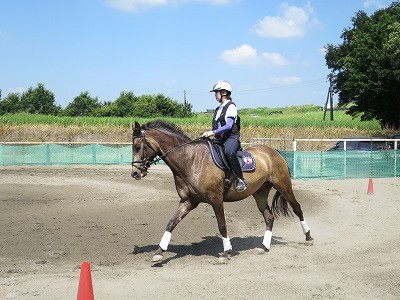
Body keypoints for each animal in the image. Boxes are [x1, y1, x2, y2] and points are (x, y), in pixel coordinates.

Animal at [131, 120, 312, 262]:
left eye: (138, 146)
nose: (135, 173)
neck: (191, 160)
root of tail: (273, 152)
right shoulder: (188, 201)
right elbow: (171, 223)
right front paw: (159, 252)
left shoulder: (215, 199)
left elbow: (222, 225)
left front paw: (226, 252)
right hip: (260, 193)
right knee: (269, 217)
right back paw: (264, 246)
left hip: (284, 185)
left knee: (297, 208)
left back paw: (308, 237)